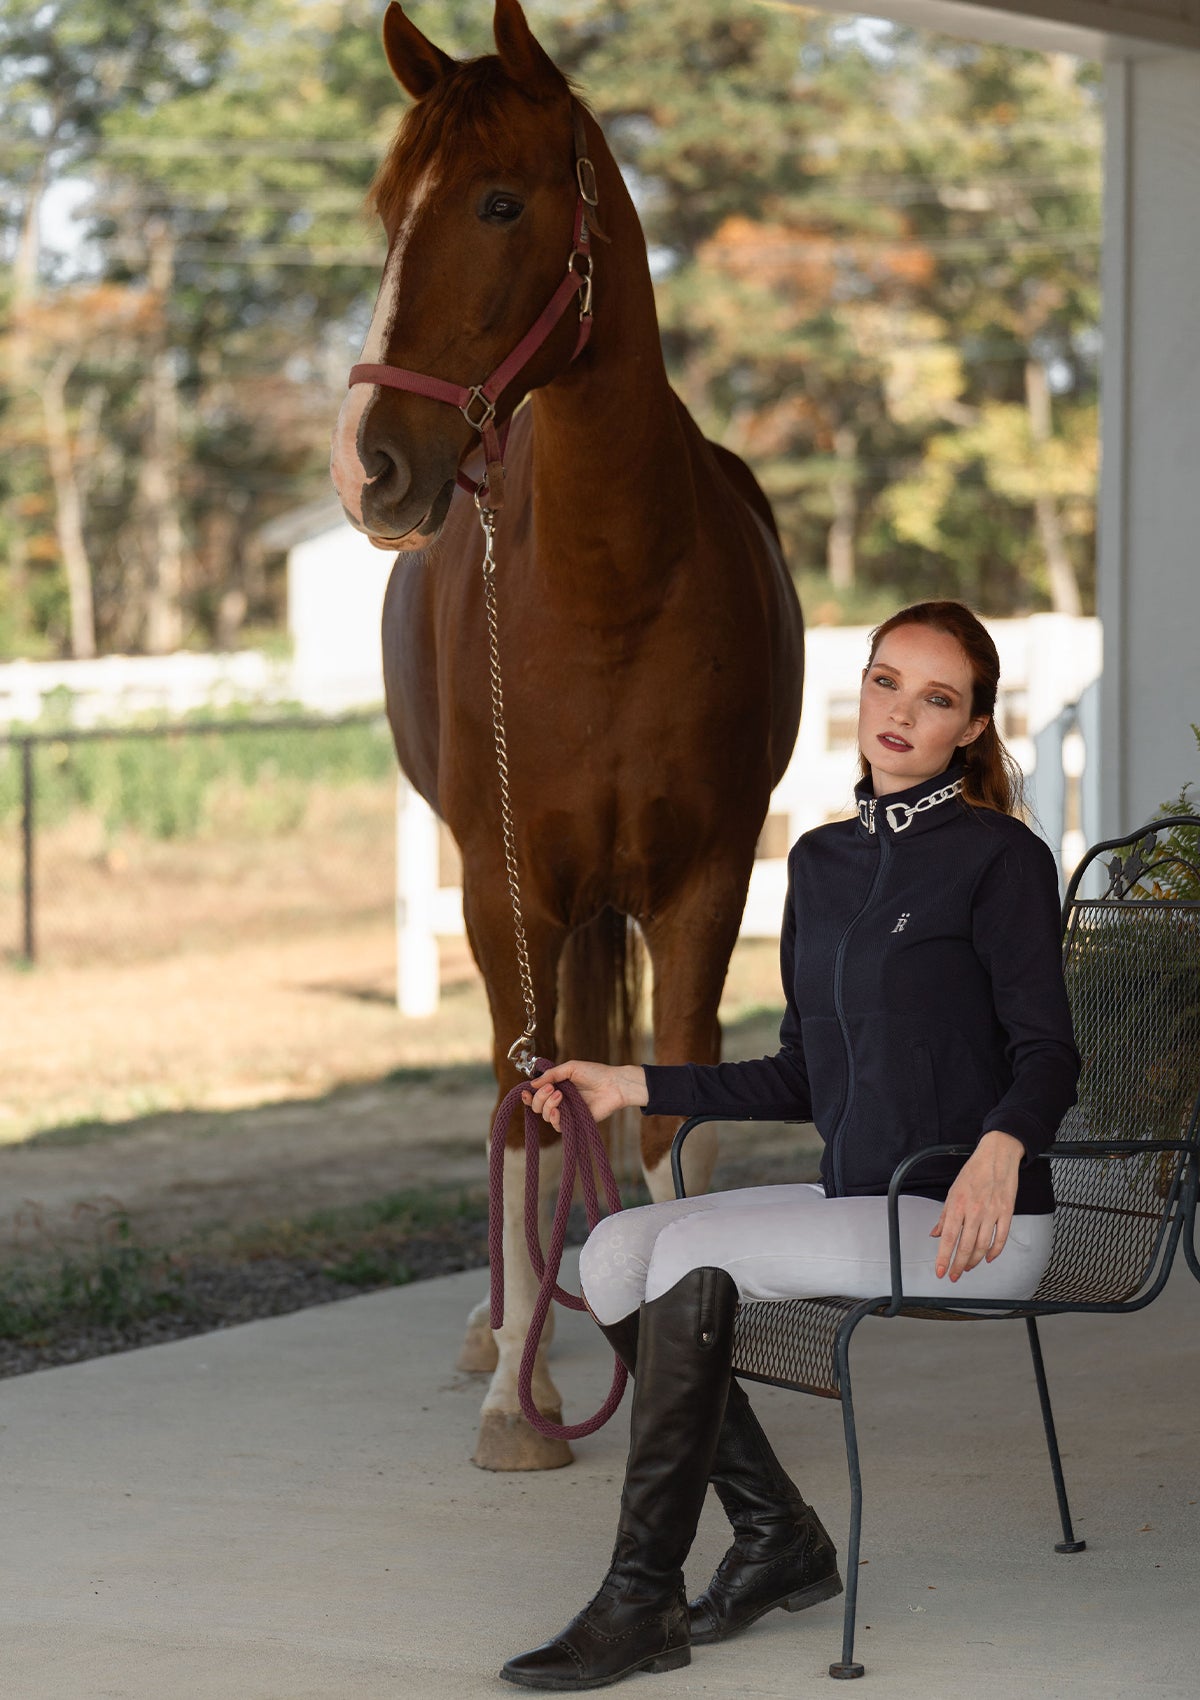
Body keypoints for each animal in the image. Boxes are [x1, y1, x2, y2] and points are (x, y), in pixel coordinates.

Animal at [326, 0, 802, 1468]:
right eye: (386, 211)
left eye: (498, 201)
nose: (369, 463)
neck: (610, 586)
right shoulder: (506, 889)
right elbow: (521, 1111)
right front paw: (517, 1405)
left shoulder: (708, 880)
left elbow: (671, 1110)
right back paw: (509, 1326)